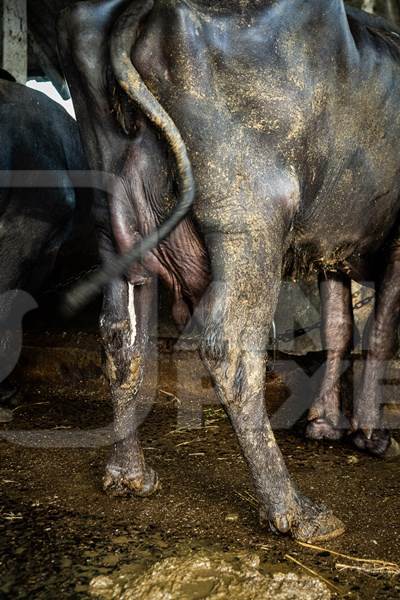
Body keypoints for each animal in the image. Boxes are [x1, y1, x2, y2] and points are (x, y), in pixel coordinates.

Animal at [57, 0, 400, 540]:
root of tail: (148, 6)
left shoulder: (330, 241)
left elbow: (338, 326)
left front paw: (324, 425)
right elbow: (379, 331)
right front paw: (372, 435)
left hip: (114, 223)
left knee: (120, 337)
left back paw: (129, 475)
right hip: (252, 218)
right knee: (232, 348)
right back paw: (295, 512)